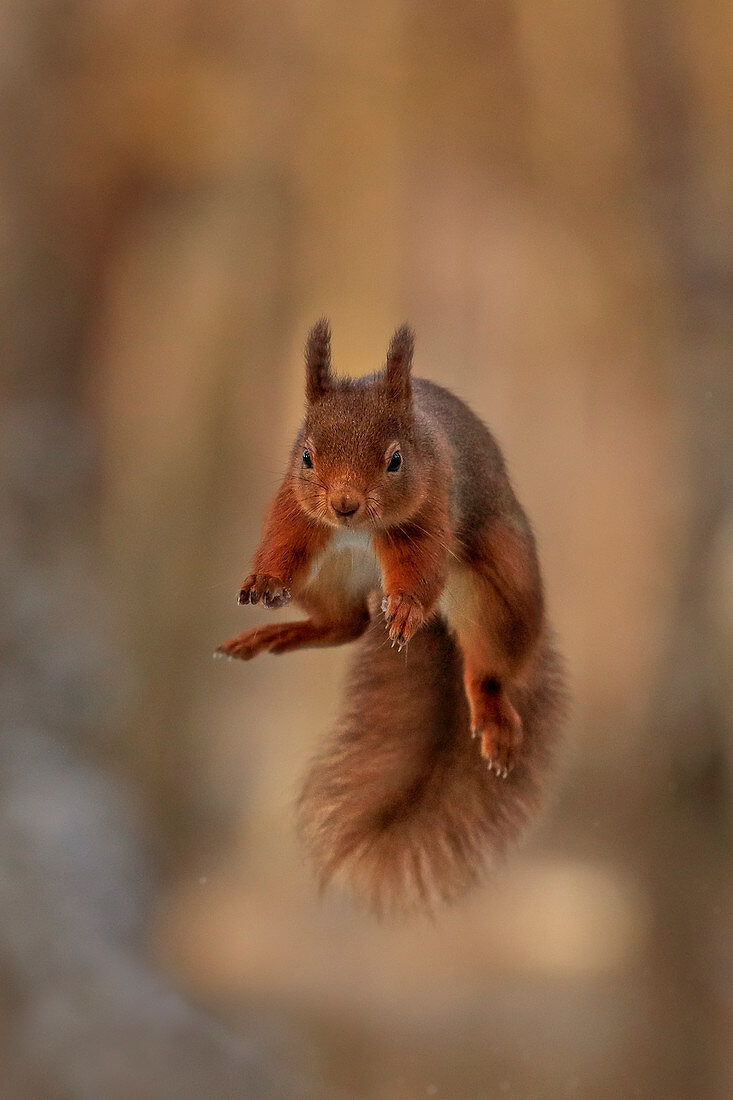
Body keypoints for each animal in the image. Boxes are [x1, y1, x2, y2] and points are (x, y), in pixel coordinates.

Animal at [216, 321, 563, 915]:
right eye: (306, 457)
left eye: (396, 460)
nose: (344, 505)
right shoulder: (292, 505)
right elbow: (283, 541)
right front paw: (262, 581)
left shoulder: (428, 512)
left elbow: (420, 568)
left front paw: (404, 609)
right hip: (327, 576)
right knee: (346, 623)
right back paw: (275, 633)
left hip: (495, 596)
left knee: (486, 667)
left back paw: (491, 710)